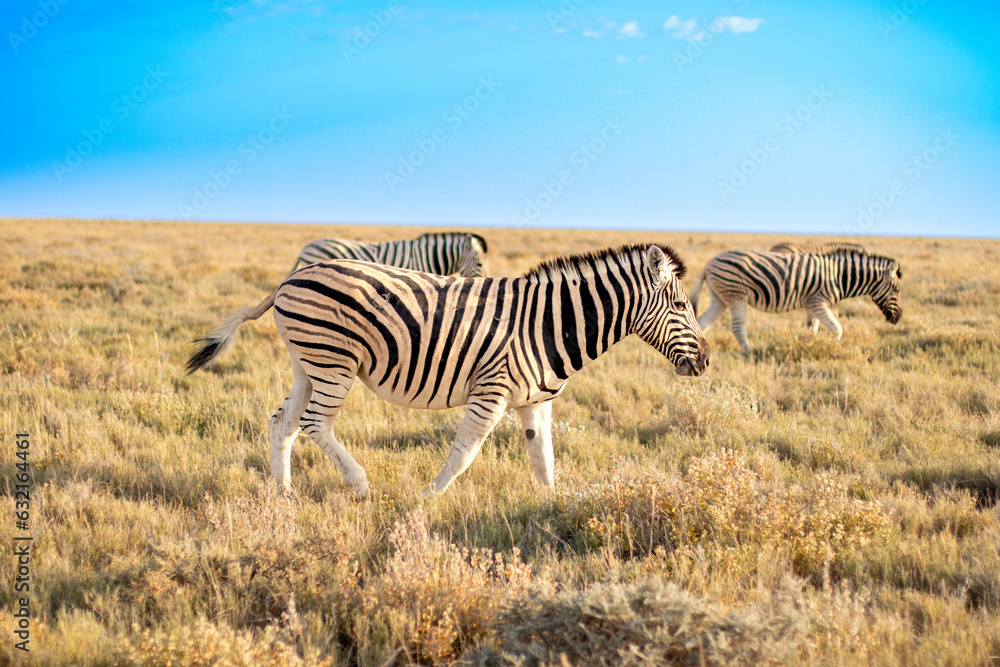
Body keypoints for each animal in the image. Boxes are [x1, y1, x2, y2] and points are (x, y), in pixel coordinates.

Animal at [186, 244, 710, 497]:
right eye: (682, 305)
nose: (706, 361)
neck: (547, 324)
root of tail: (288, 279)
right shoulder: (492, 391)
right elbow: (464, 454)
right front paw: (428, 498)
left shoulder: (535, 402)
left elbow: (543, 461)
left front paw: (553, 507)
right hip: (335, 362)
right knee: (316, 424)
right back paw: (359, 483)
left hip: (307, 363)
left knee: (283, 424)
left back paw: (283, 494)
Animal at [690, 248, 901, 352]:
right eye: (897, 290)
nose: (898, 319)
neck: (840, 276)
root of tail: (708, 264)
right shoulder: (818, 302)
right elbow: (837, 330)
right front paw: (830, 347)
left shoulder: (811, 306)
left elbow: (811, 330)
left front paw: (809, 346)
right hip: (736, 296)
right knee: (737, 327)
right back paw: (749, 352)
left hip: (719, 299)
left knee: (702, 323)